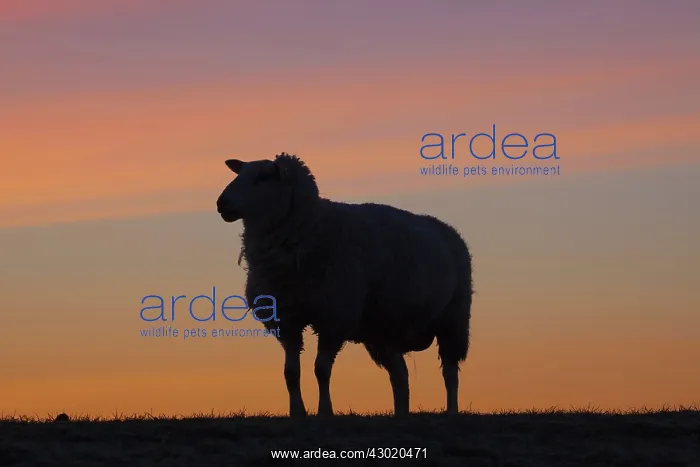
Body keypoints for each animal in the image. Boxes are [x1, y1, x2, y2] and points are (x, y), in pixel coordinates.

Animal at [216, 153, 473, 417]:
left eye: (263, 177)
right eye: (240, 173)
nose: (221, 203)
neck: (309, 228)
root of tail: (448, 230)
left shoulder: (334, 317)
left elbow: (321, 370)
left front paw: (324, 411)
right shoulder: (287, 320)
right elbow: (291, 373)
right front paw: (297, 412)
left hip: (454, 318)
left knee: (450, 373)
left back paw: (452, 411)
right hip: (383, 331)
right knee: (400, 375)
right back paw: (400, 413)